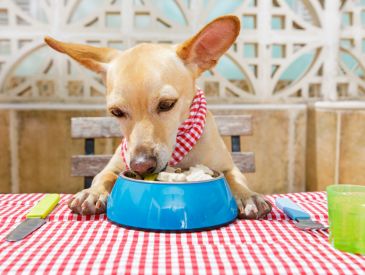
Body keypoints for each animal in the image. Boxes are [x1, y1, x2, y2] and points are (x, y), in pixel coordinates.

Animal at [44, 16, 270, 221]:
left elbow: (235, 179)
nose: (140, 165)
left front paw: (246, 196)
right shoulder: (115, 165)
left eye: (167, 104)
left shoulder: (229, 167)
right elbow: (104, 175)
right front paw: (92, 192)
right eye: (116, 112)